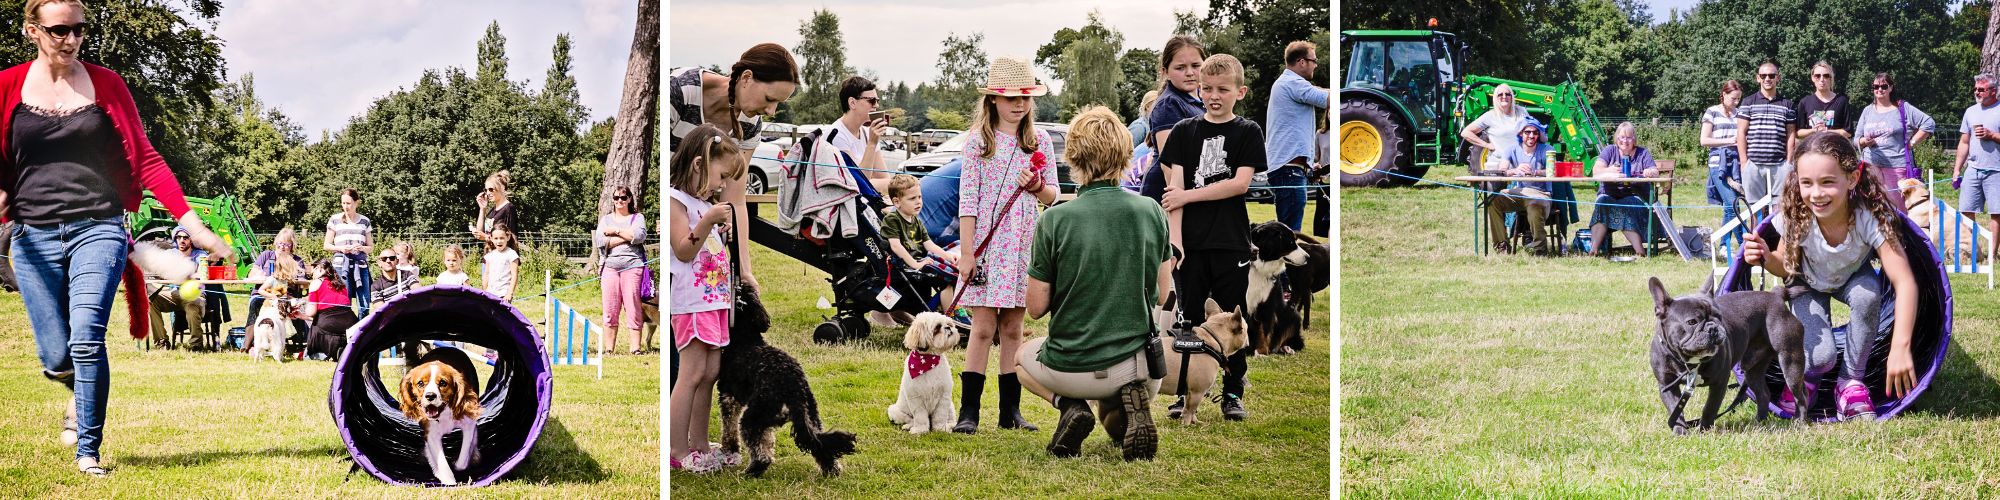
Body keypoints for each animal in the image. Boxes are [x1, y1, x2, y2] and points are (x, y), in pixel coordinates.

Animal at [720, 286, 860, 476]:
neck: (746, 339)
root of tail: (793, 386)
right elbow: (767, 438)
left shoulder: (728, 396)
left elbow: (729, 427)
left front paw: (730, 449)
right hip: (810, 414)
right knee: (818, 444)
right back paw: (831, 470)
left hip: (756, 414)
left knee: (761, 452)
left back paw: (752, 471)